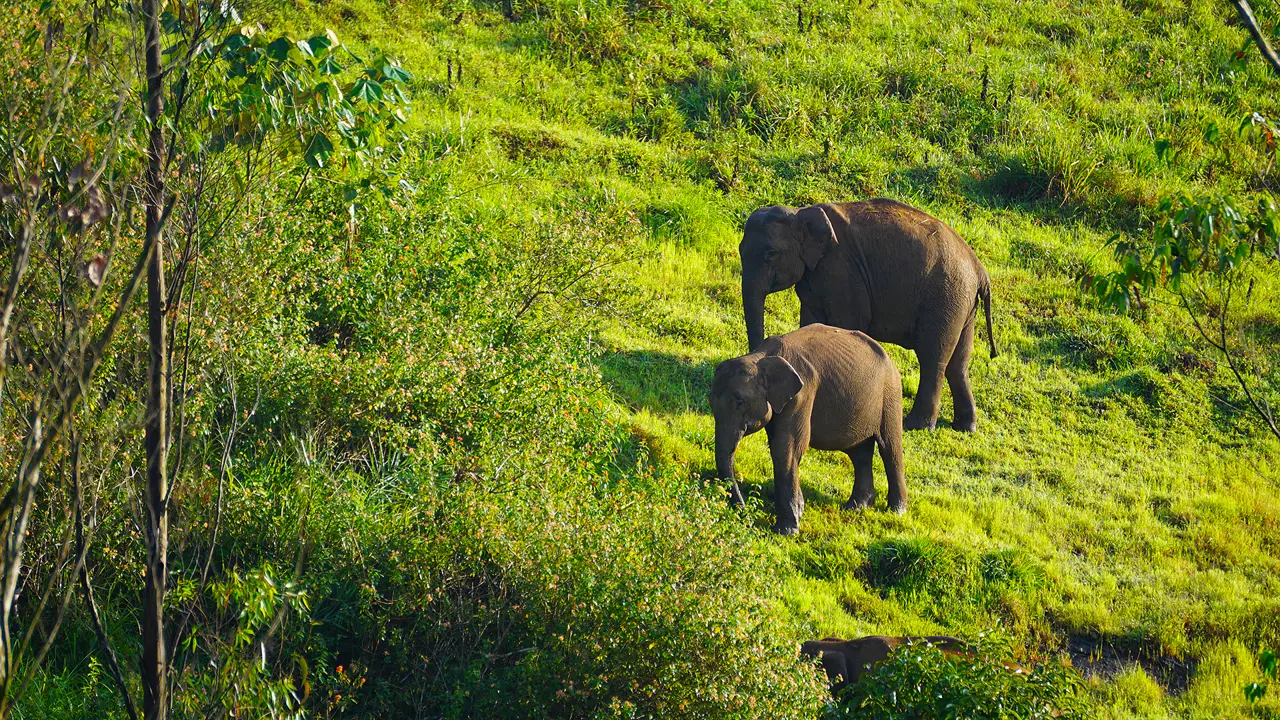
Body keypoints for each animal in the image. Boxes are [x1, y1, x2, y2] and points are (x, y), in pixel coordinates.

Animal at [711, 320, 911, 532]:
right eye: (710, 402)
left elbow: (787, 448)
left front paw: (786, 531)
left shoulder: (803, 394)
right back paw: (855, 507)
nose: (746, 516)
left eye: (740, 402)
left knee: (889, 448)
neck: (761, 356)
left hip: (890, 394)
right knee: (859, 453)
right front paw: (798, 513)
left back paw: (896, 511)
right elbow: (782, 445)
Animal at [742, 196, 998, 430]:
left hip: (945, 298)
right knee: (959, 363)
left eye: (771, 253)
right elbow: (811, 321)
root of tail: (980, 269)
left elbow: (847, 322)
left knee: (932, 358)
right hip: (962, 305)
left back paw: (916, 426)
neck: (800, 212)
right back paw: (965, 427)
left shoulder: (843, 270)